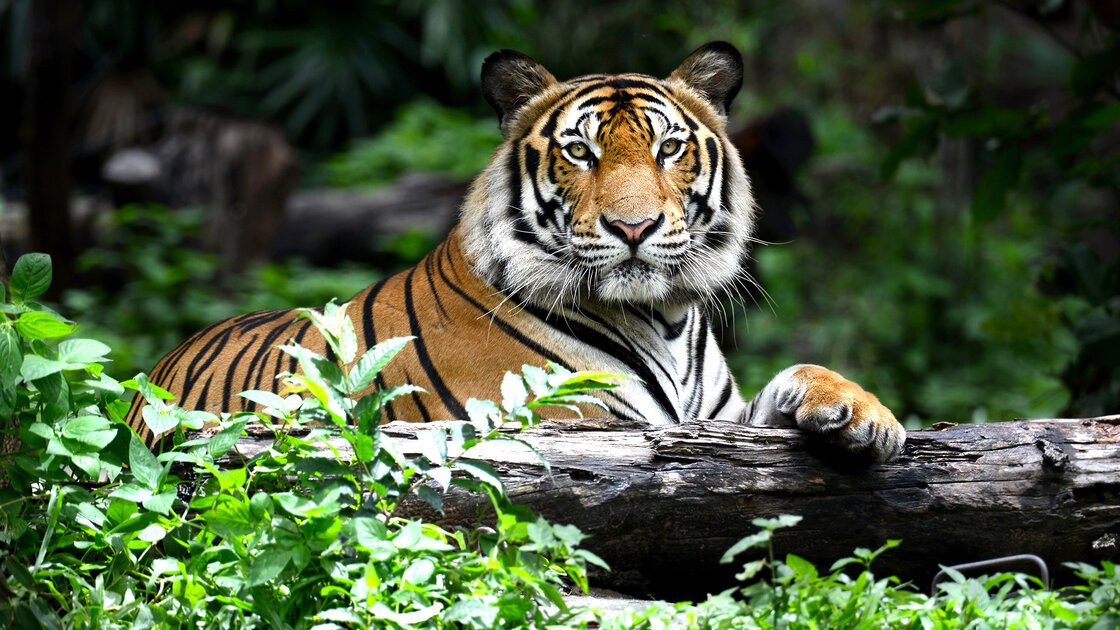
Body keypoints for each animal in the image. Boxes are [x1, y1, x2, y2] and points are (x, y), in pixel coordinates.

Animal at [125, 42, 906, 462]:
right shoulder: (574, 424)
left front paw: (864, 415)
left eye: (668, 148)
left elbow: (798, 374)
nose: (634, 228)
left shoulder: (717, 421)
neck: (664, 317)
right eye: (581, 152)